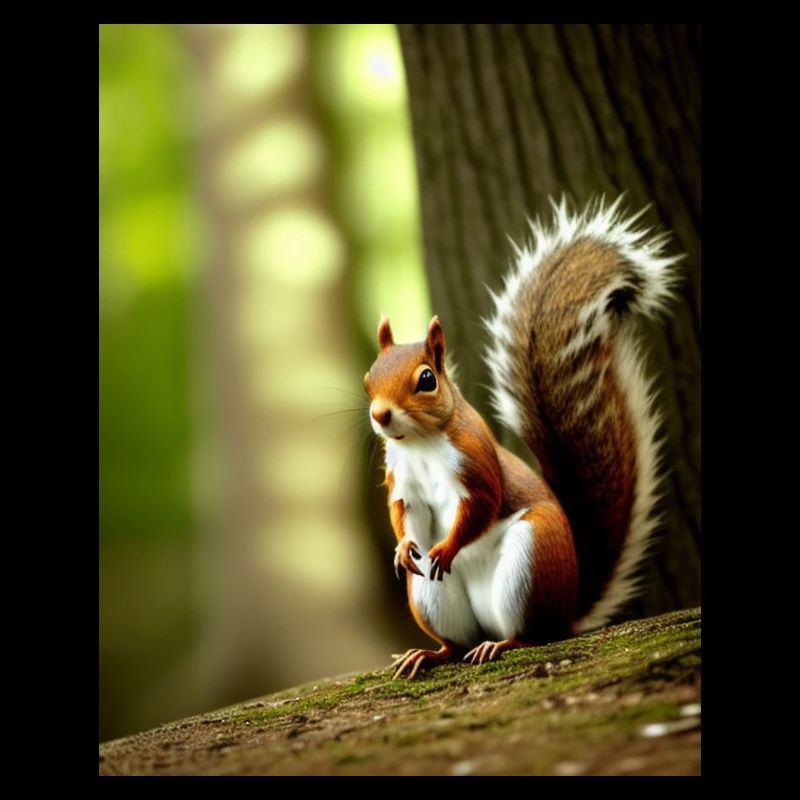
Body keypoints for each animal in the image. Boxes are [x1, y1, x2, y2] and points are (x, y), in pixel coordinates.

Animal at [363, 197, 681, 679]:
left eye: (427, 379)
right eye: (368, 379)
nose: (380, 415)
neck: (419, 444)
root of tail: (568, 612)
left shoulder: (474, 460)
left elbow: (481, 505)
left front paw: (448, 546)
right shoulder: (403, 481)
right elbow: (405, 513)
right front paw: (403, 549)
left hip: (530, 561)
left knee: (533, 635)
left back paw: (503, 643)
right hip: (431, 597)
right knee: (455, 643)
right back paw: (429, 653)